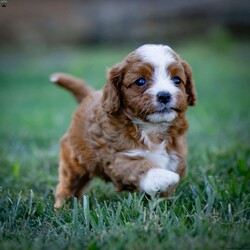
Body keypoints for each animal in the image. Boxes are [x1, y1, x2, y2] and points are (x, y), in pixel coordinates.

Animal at [50, 44, 195, 208]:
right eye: (140, 81)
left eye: (177, 80)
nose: (164, 95)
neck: (152, 129)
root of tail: (89, 95)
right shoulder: (116, 157)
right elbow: (137, 166)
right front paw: (161, 177)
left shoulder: (175, 158)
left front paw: (163, 205)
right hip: (74, 160)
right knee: (68, 185)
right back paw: (63, 207)